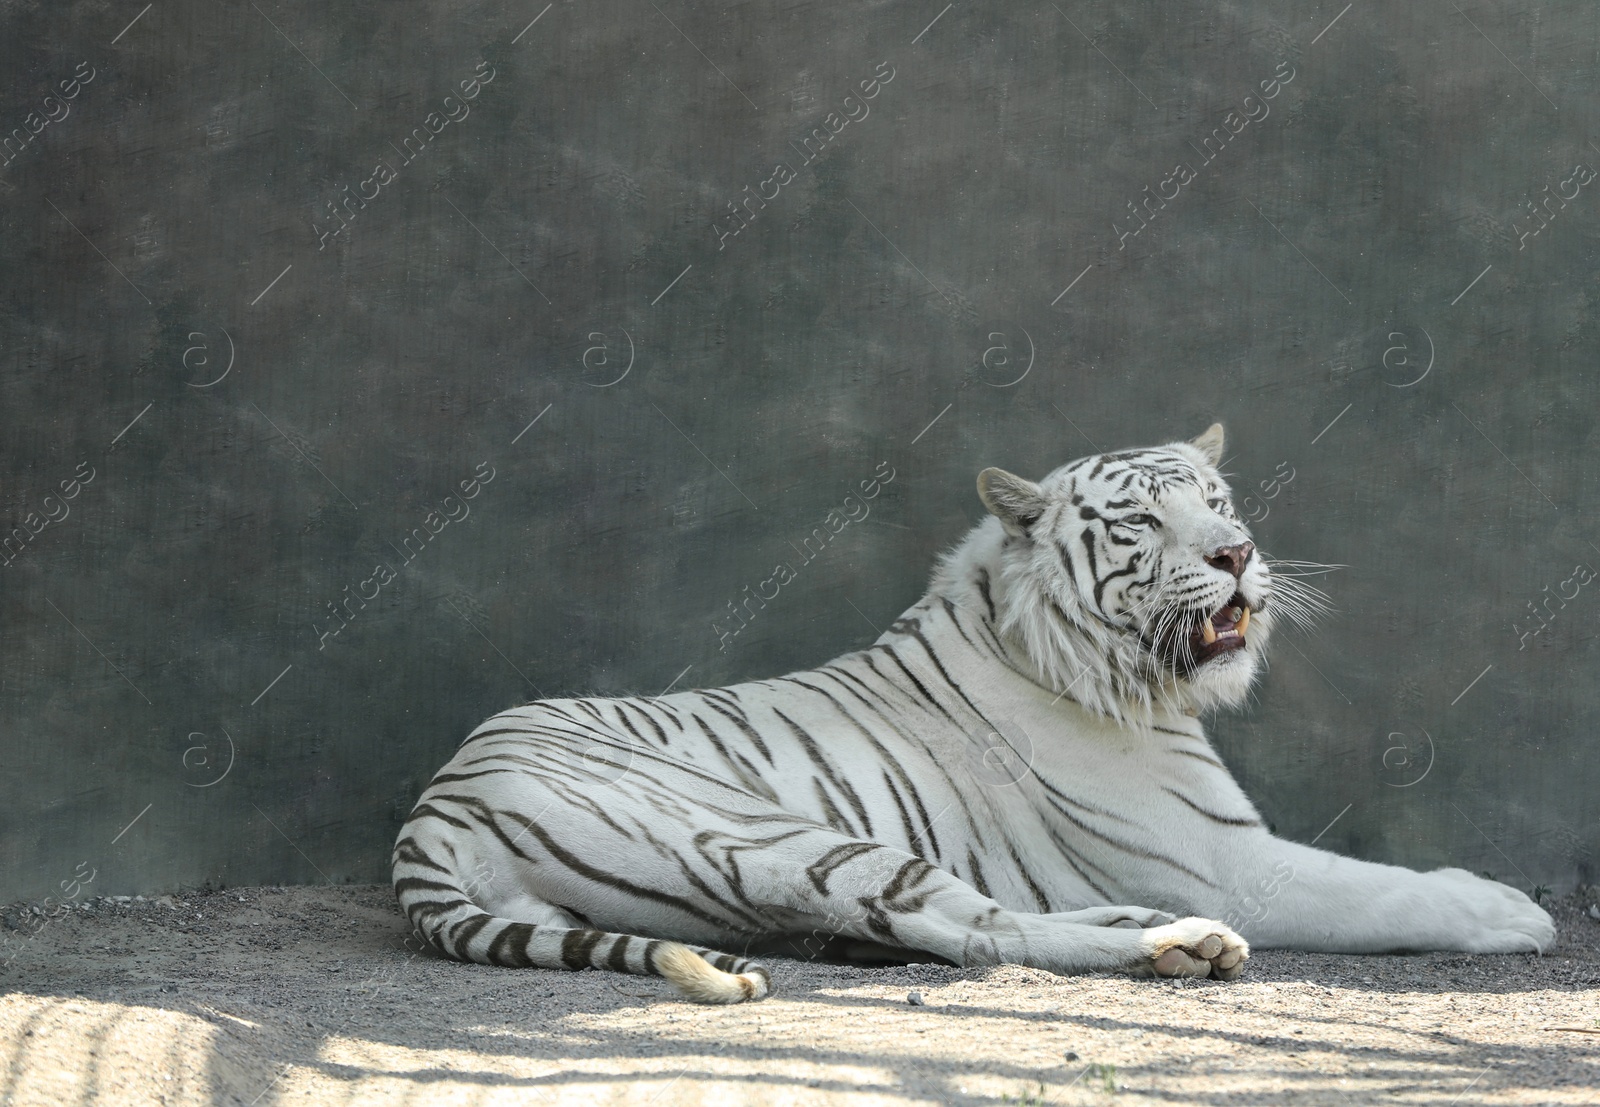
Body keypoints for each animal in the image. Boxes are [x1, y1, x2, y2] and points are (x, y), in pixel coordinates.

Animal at [393, 422, 1555, 1004]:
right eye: (1141, 522)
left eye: (1218, 503)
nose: (1236, 555)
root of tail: (429, 817)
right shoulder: (1229, 861)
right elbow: (1384, 888)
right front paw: (1509, 909)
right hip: (784, 837)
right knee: (973, 933)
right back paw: (1171, 944)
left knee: (961, 925)